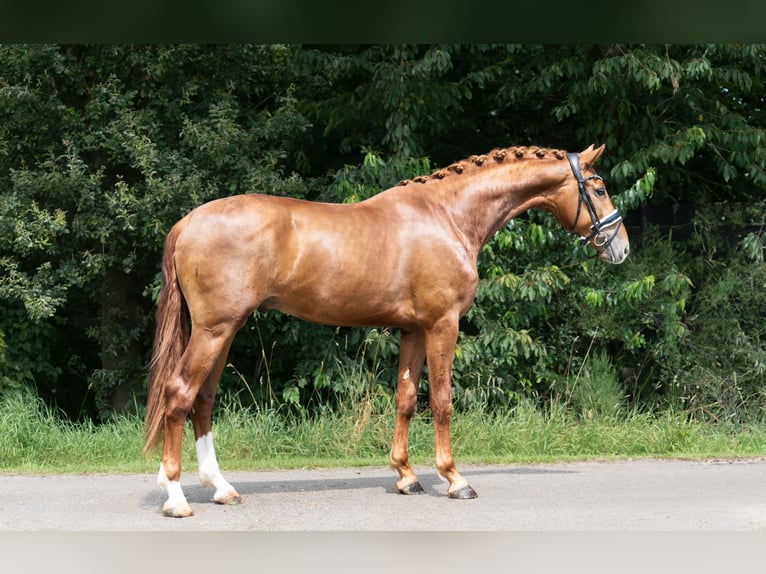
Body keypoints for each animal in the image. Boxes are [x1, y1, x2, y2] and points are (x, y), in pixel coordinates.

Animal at [144, 143, 632, 516]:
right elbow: (441, 402)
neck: (448, 215)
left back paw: (221, 488)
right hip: (215, 330)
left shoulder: (412, 330)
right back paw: (176, 497)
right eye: (599, 188)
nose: (621, 248)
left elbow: (405, 399)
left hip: (221, 331)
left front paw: (406, 476)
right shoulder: (442, 325)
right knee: (179, 394)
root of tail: (187, 222)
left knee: (203, 400)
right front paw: (455, 479)